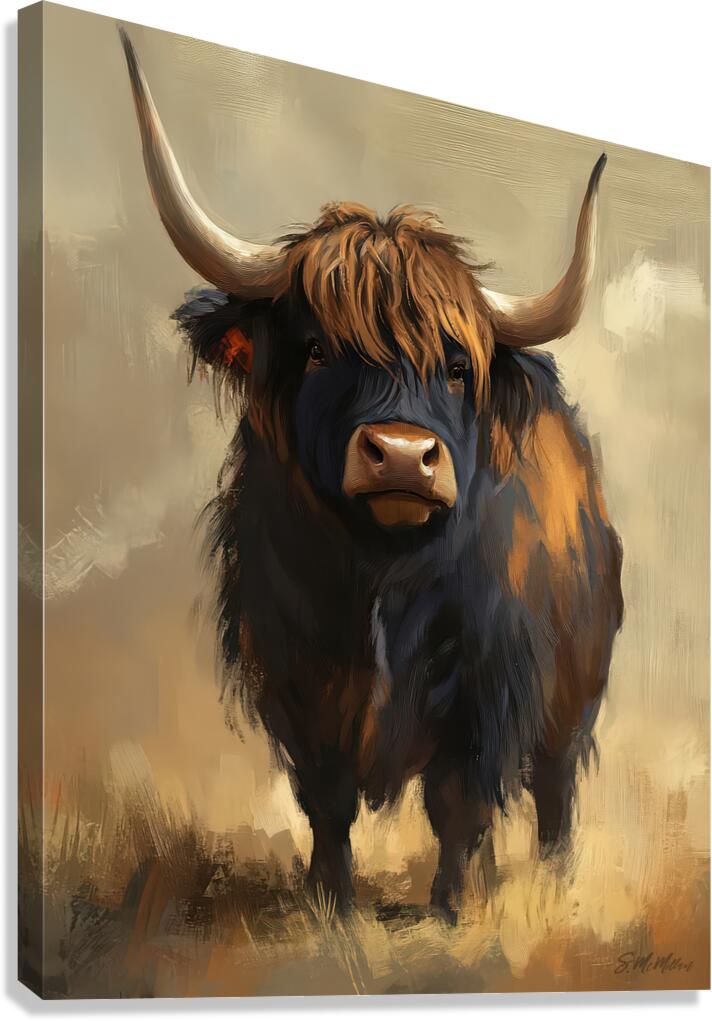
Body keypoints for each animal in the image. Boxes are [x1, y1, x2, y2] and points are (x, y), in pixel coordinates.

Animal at [120, 30, 623, 924]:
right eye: (319, 349)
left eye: (456, 367)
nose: (398, 452)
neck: (382, 579)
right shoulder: (294, 675)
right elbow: (327, 799)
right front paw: (330, 902)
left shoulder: (488, 687)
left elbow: (461, 798)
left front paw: (452, 909)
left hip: (576, 690)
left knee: (554, 790)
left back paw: (553, 881)